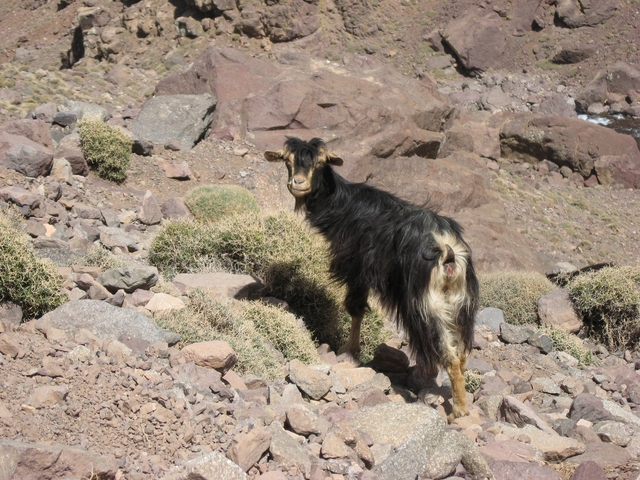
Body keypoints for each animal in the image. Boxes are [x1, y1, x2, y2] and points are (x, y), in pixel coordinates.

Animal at [265, 137, 479, 419]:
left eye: (320, 163)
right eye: (287, 161)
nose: (298, 183)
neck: (343, 204)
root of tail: (448, 251)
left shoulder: (357, 267)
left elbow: (355, 309)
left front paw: (348, 350)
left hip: (424, 305)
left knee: (450, 355)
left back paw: (458, 412)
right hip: (459, 304)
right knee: (461, 352)